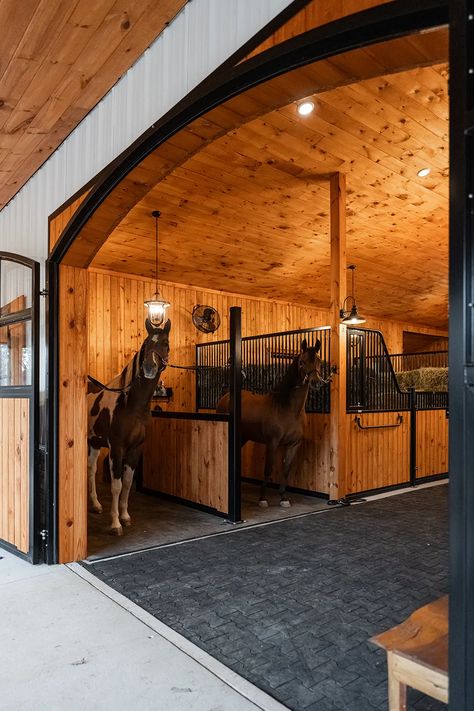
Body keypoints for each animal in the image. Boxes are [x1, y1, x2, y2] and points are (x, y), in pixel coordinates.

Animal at [88, 320, 171, 536]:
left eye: (165, 344)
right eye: (146, 344)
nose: (149, 367)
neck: (131, 405)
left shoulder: (135, 449)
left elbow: (126, 482)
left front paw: (125, 516)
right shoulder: (117, 449)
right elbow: (116, 486)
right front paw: (115, 523)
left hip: (94, 443)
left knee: (91, 469)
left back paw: (95, 505)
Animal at [218, 338, 322, 506]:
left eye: (319, 361)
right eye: (302, 362)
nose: (316, 382)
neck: (288, 409)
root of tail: (226, 396)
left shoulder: (294, 444)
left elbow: (286, 470)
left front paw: (283, 498)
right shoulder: (272, 443)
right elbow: (268, 469)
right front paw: (263, 499)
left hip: (243, 437)